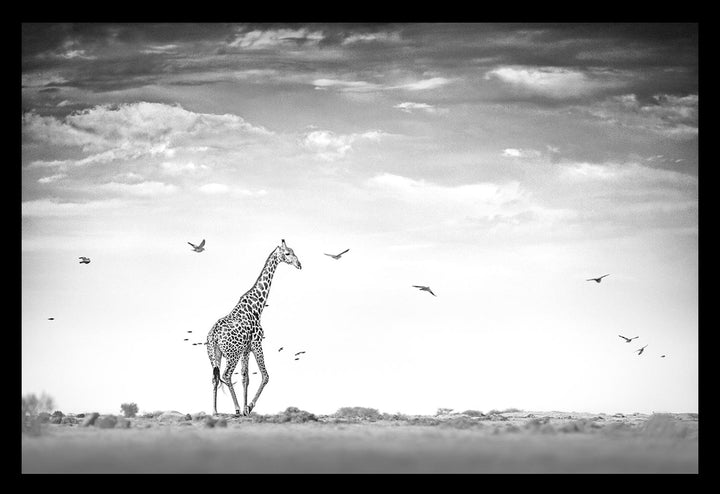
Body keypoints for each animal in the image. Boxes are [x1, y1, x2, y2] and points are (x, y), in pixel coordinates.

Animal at [206, 239, 302, 416]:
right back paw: (236, 408)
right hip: (232, 354)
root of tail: (214, 335)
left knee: (214, 377)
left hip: (214, 354)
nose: (299, 264)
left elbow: (246, 377)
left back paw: (215, 411)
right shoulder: (256, 343)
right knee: (226, 375)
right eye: (287, 253)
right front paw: (248, 407)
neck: (257, 306)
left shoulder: (246, 348)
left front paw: (246, 408)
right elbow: (265, 376)